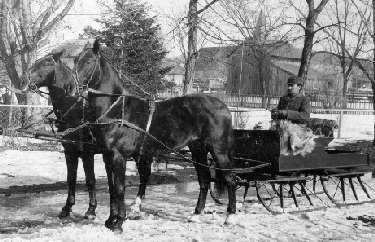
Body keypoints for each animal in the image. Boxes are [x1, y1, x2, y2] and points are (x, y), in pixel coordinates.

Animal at [26, 51, 100, 219]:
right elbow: (70, 179)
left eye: (47, 63)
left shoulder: (87, 152)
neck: (74, 110)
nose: (28, 80)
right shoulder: (69, 151)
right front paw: (67, 207)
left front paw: (91, 209)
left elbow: (90, 179)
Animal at [72, 40, 238, 233]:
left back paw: (230, 216)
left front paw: (119, 222)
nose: (72, 88)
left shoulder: (119, 156)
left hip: (219, 151)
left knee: (230, 180)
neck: (117, 109)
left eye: (89, 61)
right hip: (198, 150)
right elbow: (112, 188)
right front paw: (110, 220)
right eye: (76, 60)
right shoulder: (107, 156)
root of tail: (223, 106)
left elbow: (120, 188)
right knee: (204, 180)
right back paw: (196, 214)